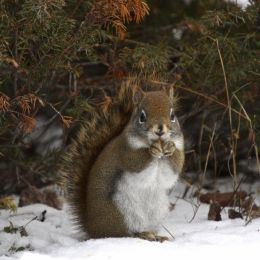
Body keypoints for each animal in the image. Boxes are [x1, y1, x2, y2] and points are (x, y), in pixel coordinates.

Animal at [61, 84, 184, 242]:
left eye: (172, 115)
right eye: (142, 117)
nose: (160, 129)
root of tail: (93, 229)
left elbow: (174, 169)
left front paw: (170, 148)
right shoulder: (125, 152)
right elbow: (137, 162)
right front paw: (152, 150)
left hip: (157, 211)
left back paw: (156, 236)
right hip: (120, 212)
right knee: (123, 233)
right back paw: (142, 234)